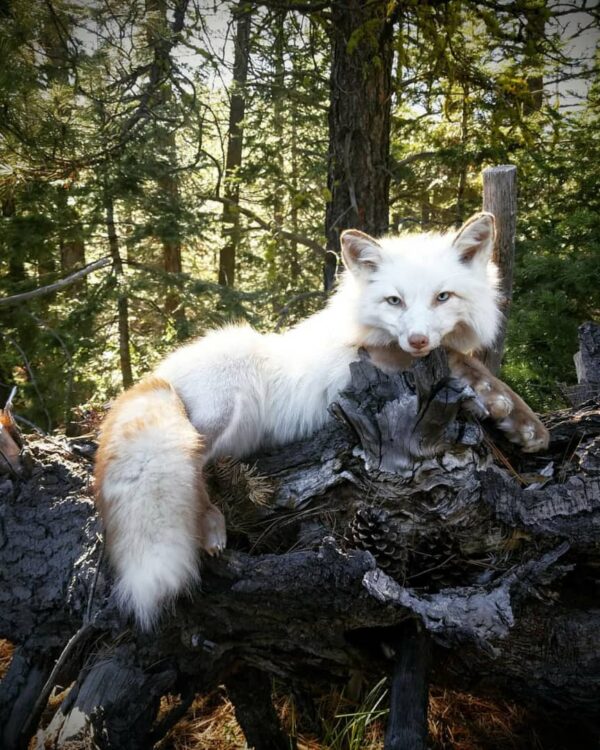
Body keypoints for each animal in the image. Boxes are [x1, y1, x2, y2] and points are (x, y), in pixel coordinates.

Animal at [95, 212, 550, 629]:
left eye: (443, 297)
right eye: (394, 301)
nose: (418, 339)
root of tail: (155, 377)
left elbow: (469, 365)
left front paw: (520, 422)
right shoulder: (365, 357)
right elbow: (461, 361)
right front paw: (508, 411)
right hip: (228, 399)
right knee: (192, 464)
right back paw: (210, 527)